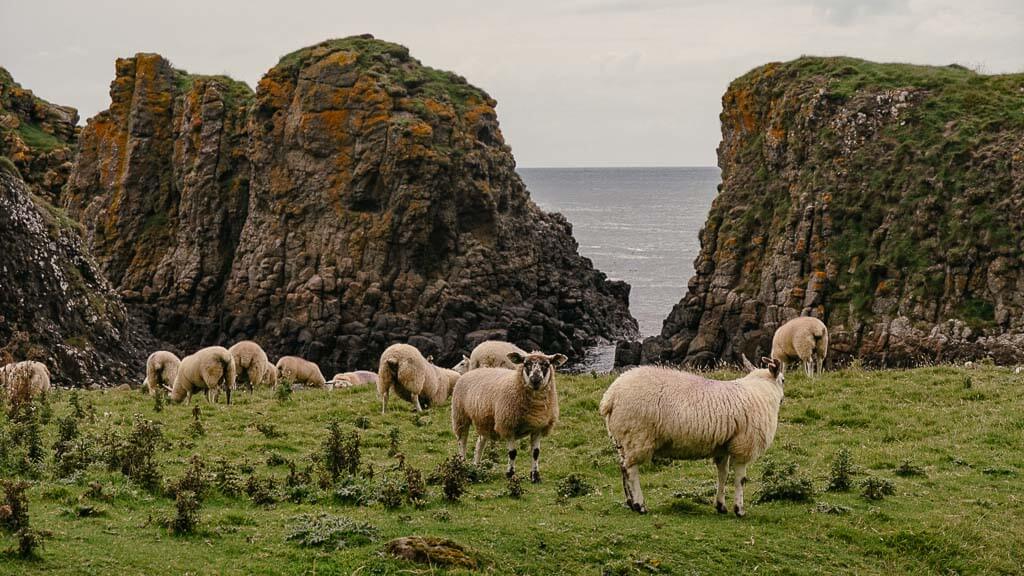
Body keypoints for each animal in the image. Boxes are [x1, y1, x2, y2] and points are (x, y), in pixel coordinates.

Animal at [451, 351, 568, 483]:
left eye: (546, 364)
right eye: (526, 364)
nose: (535, 380)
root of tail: (471, 371)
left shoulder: (538, 428)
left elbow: (535, 453)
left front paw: (535, 476)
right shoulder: (508, 426)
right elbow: (512, 453)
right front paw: (510, 474)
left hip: (485, 421)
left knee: (479, 443)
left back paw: (476, 466)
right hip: (460, 415)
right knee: (462, 441)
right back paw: (461, 465)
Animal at [599, 356, 784, 516]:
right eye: (783, 380)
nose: (783, 399)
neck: (761, 390)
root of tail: (610, 397)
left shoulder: (723, 447)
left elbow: (722, 475)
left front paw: (721, 505)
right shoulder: (744, 445)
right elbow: (740, 479)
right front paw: (739, 509)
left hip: (623, 439)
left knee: (623, 467)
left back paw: (630, 502)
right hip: (637, 436)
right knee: (631, 470)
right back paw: (640, 505)